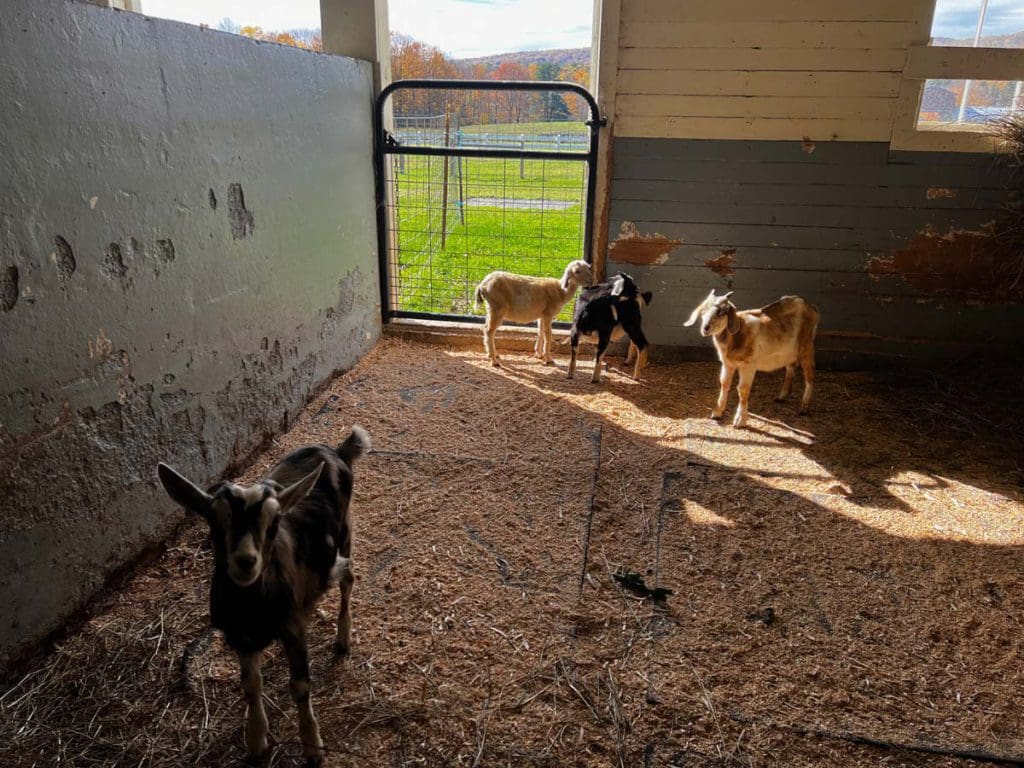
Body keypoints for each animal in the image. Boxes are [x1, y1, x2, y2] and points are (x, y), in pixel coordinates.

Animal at [157, 428, 370, 768]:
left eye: (274, 524)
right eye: (214, 522)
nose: (246, 561)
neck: (252, 607)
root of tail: (335, 450)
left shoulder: (292, 630)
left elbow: (300, 685)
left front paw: (313, 747)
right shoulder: (240, 637)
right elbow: (251, 685)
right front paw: (256, 741)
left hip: (345, 533)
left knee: (347, 578)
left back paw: (343, 638)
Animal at [684, 290, 819, 430]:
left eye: (722, 312)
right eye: (703, 310)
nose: (706, 328)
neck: (736, 337)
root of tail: (811, 307)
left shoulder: (748, 365)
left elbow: (742, 389)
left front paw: (740, 420)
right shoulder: (727, 363)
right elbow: (724, 383)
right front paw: (717, 412)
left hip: (807, 346)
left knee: (809, 374)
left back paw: (804, 408)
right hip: (790, 352)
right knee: (791, 368)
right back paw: (782, 397)